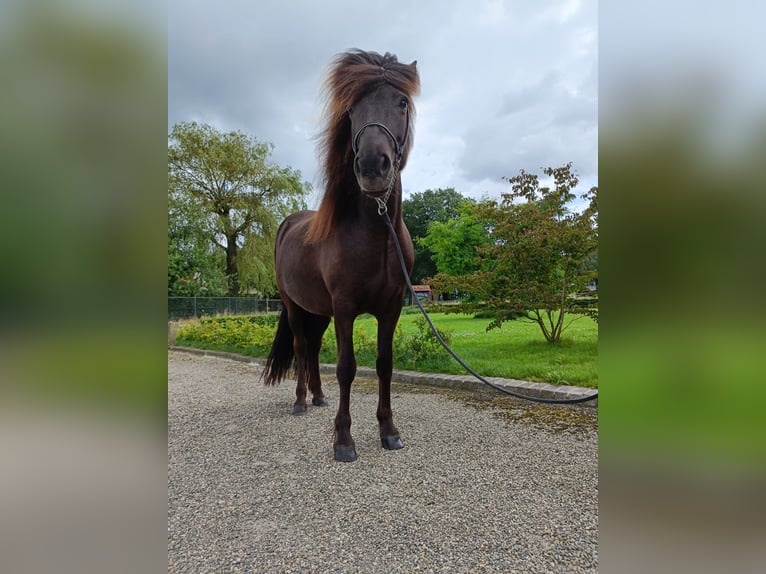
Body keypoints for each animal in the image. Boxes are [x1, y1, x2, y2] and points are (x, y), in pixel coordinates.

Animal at [262, 49, 420, 464]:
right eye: (351, 109)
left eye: (402, 102)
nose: (372, 166)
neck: (376, 236)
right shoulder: (346, 308)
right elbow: (347, 367)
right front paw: (343, 440)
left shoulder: (392, 308)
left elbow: (384, 365)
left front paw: (389, 431)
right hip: (296, 307)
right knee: (302, 349)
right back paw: (301, 401)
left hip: (318, 311)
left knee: (314, 349)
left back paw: (318, 397)